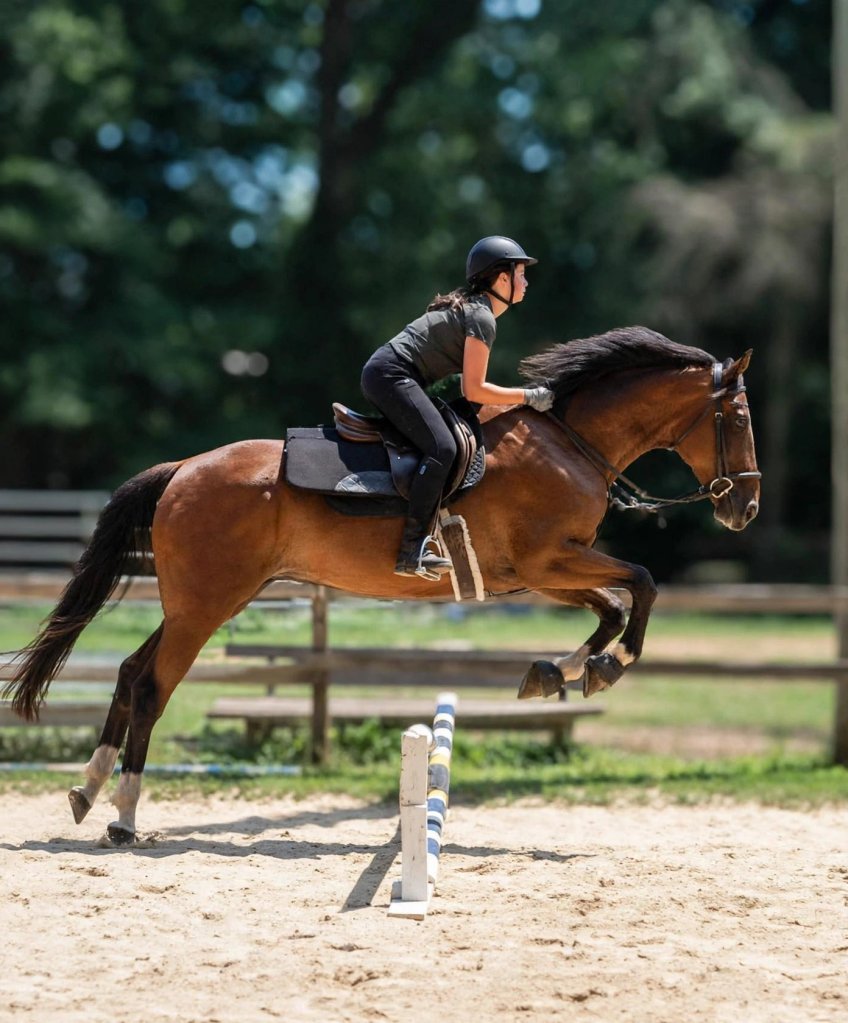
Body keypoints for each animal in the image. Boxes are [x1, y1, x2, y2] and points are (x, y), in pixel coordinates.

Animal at [3, 326, 760, 843]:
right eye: (740, 417)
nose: (745, 507)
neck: (570, 441)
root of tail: (183, 468)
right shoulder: (549, 561)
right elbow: (643, 584)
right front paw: (607, 665)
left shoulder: (539, 573)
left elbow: (611, 605)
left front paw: (560, 671)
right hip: (206, 605)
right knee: (154, 686)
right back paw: (125, 815)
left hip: (199, 600)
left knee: (131, 671)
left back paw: (87, 790)